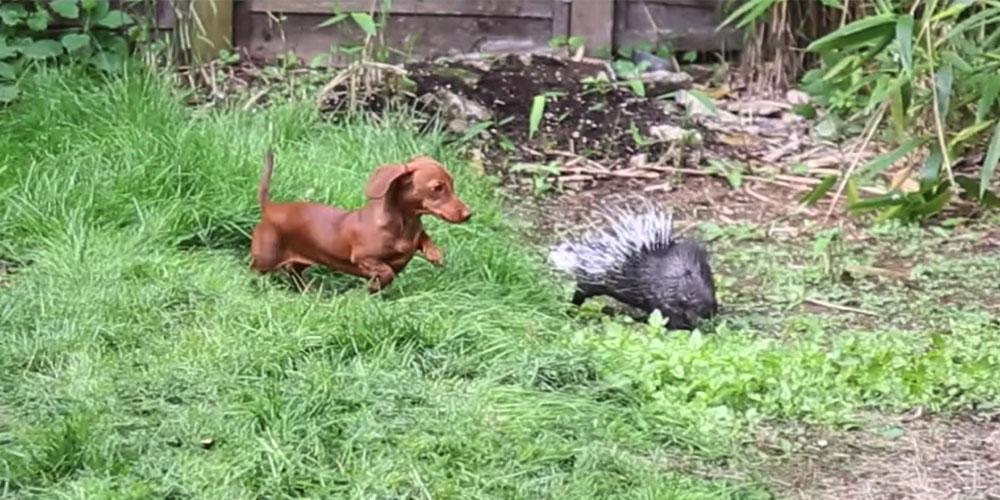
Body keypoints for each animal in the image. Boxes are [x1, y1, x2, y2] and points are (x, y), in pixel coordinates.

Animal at [248, 152, 470, 292]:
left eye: (452, 184)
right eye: (437, 188)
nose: (469, 214)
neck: (404, 225)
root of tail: (271, 208)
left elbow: (423, 238)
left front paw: (435, 253)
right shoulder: (364, 258)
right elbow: (387, 271)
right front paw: (373, 287)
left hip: (299, 261)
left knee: (293, 272)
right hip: (265, 259)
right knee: (255, 270)